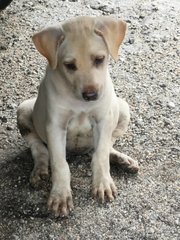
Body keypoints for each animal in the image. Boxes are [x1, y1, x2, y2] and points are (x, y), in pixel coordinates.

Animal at [16, 15, 139, 217]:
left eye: (99, 59)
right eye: (69, 65)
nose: (91, 95)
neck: (79, 103)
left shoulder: (103, 119)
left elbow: (101, 155)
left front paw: (102, 183)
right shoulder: (55, 126)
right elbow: (59, 163)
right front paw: (60, 196)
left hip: (122, 108)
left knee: (105, 146)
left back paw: (122, 160)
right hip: (24, 109)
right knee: (38, 148)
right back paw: (40, 170)